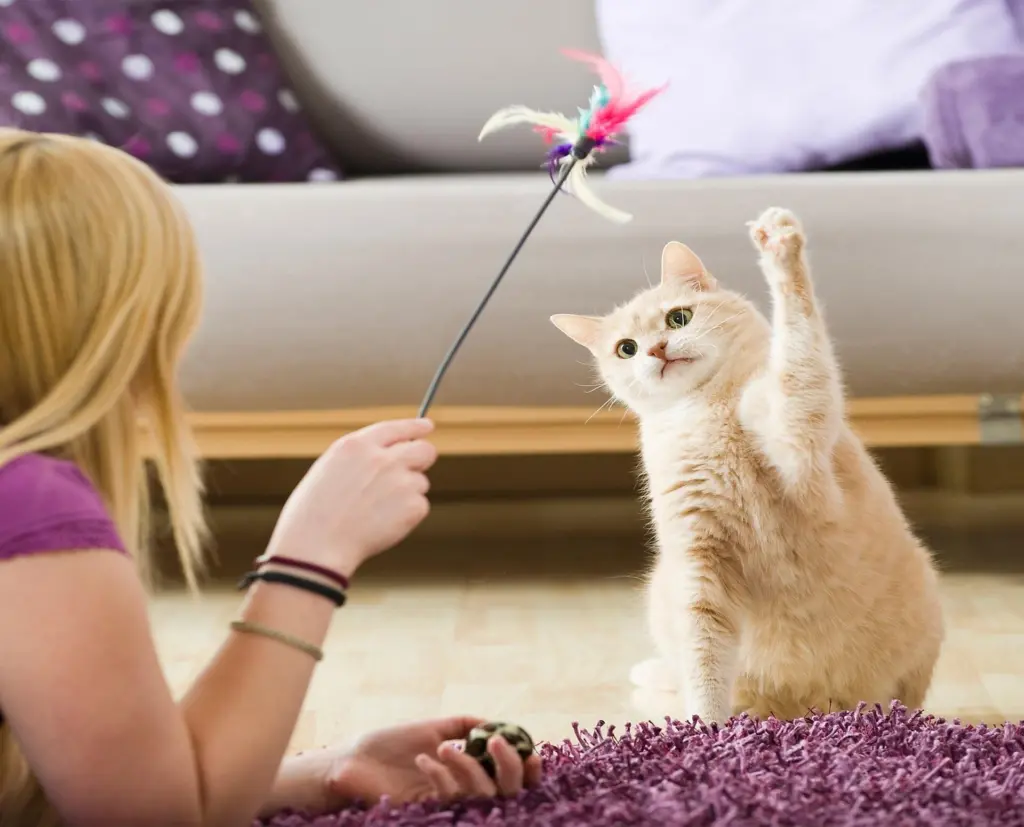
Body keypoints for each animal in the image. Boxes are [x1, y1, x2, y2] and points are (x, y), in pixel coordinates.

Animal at [552, 208, 942, 724]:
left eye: (678, 318)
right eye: (627, 349)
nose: (656, 350)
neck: (706, 411)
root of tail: (801, 707)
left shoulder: (796, 428)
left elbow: (799, 346)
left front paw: (779, 248)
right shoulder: (699, 564)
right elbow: (703, 662)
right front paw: (705, 728)